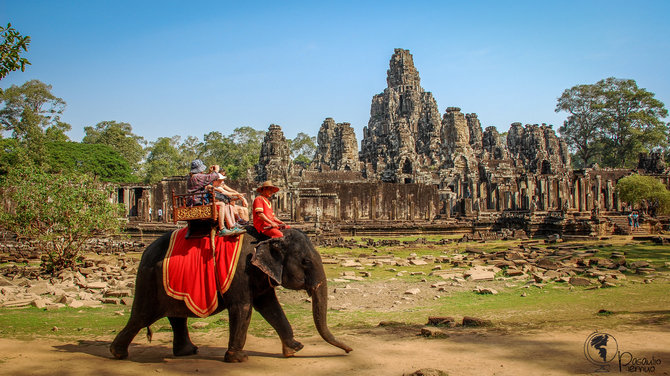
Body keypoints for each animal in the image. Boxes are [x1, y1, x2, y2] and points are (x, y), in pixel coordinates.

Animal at [108, 226, 354, 362]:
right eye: (305, 262)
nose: (350, 350)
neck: (265, 240)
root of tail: (145, 251)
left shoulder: (262, 278)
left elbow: (273, 310)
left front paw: (294, 348)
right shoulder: (241, 274)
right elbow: (242, 308)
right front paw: (238, 358)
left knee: (176, 317)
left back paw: (187, 351)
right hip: (148, 281)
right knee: (140, 317)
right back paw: (117, 353)